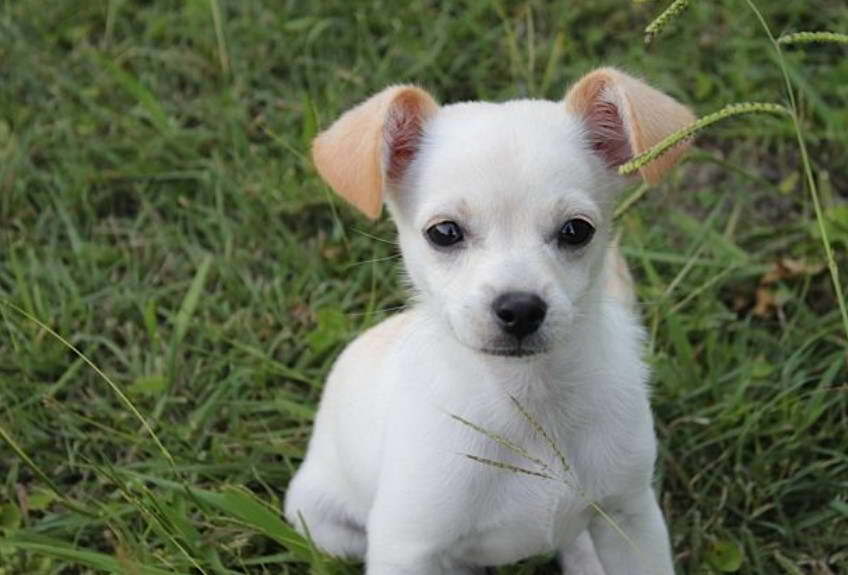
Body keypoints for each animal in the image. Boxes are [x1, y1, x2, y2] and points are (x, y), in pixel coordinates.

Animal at [284, 68, 696, 575]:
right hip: (321, 523)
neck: (529, 399)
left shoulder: (630, 519)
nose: (520, 308)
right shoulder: (406, 546)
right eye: (444, 233)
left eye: (577, 230)